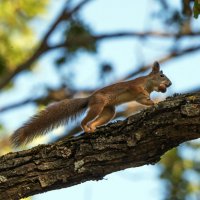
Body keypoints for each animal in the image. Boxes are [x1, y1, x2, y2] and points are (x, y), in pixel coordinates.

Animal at [10, 61, 172, 147]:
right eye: (161, 75)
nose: (169, 84)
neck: (148, 84)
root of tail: (90, 98)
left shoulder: (139, 97)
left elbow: (143, 101)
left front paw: (155, 101)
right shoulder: (134, 86)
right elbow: (139, 93)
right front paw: (154, 101)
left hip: (108, 111)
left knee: (97, 120)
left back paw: (93, 128)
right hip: (98, 105)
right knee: (84, 121)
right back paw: (86, 128)